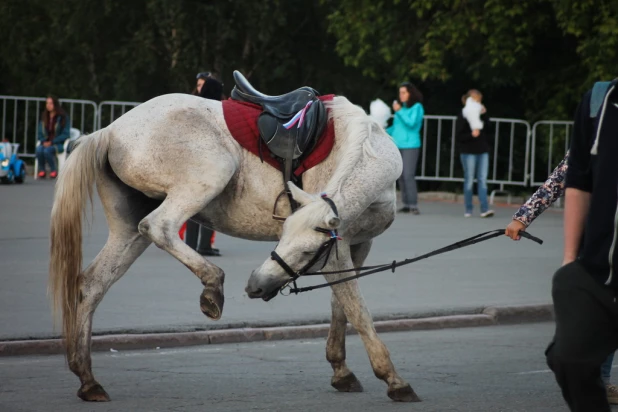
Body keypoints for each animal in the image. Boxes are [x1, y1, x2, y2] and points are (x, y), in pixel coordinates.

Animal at [48, 92, 418, 402]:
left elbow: (342, 305)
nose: (256, 285)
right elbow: (358, 310)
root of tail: (109, 130)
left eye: (302, 250)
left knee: (92, 284)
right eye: (291, 244)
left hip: (126, 234)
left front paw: (341, 371)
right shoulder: (334, 252)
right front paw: (393, 379)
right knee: (159, 226)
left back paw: (88, 379)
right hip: (209, 175)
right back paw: (212, 284)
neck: (364, 147)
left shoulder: (355, 245)